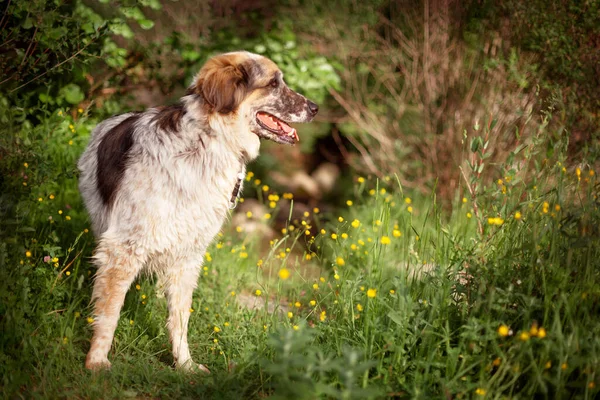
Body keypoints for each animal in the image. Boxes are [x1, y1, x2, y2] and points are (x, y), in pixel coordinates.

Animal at [78, 50, 318, 372]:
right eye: (273, 83)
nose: (315, 108)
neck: (208, 141)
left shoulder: (189, 254)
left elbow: (180, 317)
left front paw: (184, 364)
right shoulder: (123, 247)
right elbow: (109, 311)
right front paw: (97, 361)